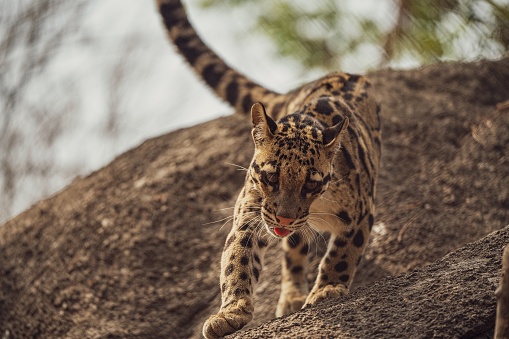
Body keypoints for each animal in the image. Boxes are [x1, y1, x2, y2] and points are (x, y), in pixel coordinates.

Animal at [157, 1, 380, 338]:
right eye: (271, 177)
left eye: (311, 184)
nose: (285, 217)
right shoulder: (249, 214)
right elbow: (237, 261)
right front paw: (230, 313)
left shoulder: (361, 212)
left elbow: (342, 254)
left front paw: (327, 290)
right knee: (293, 250)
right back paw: (291, 296)